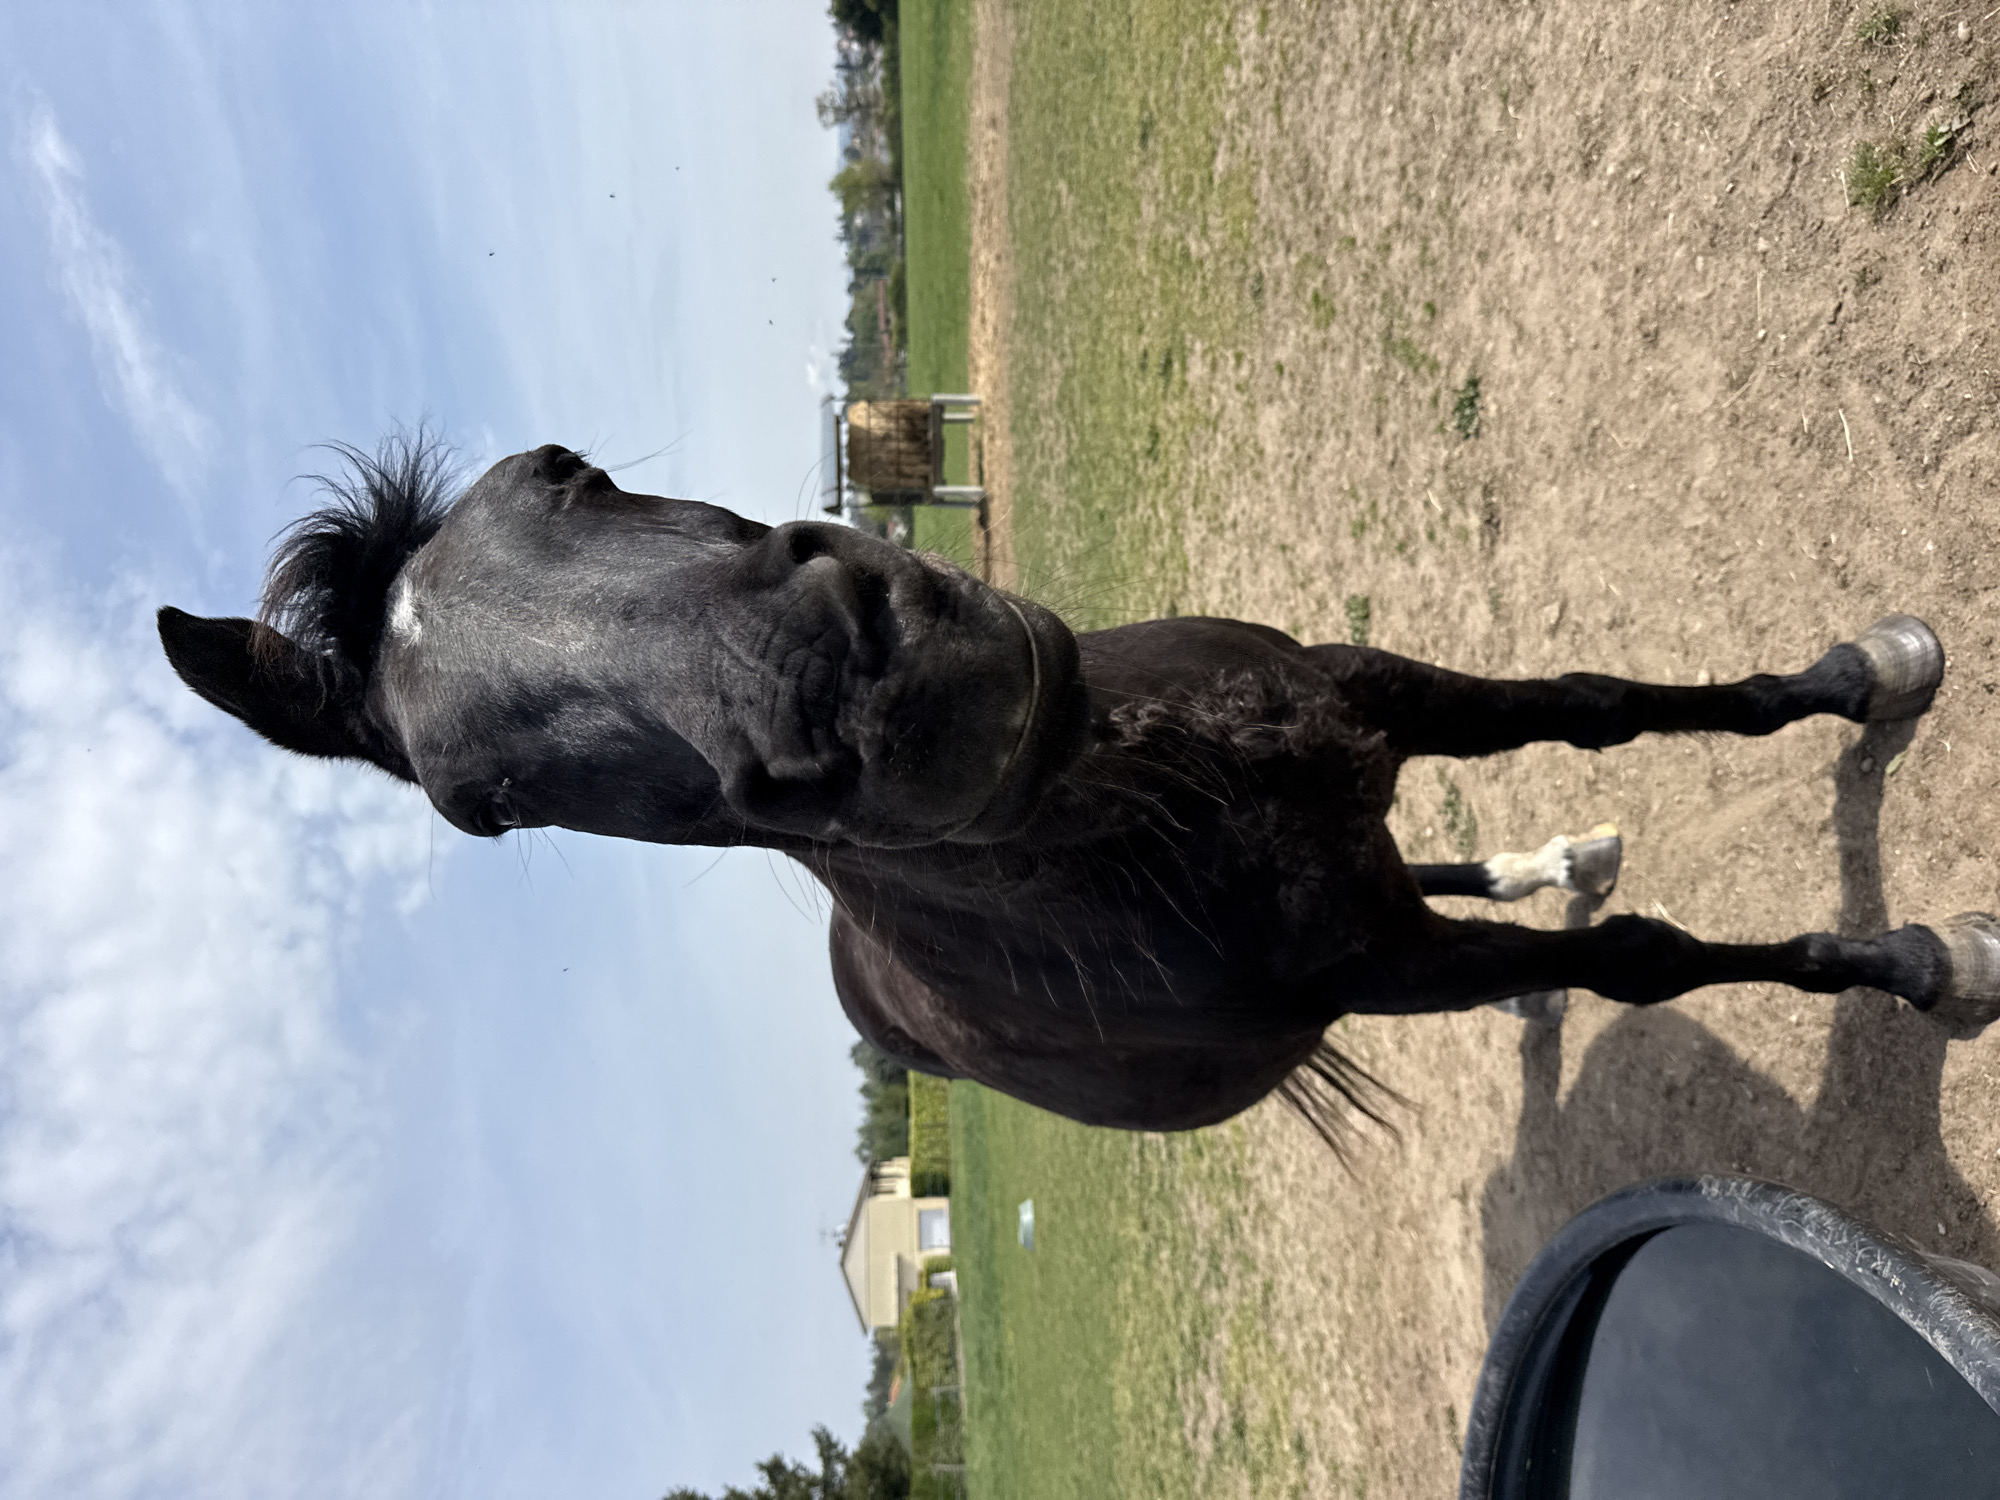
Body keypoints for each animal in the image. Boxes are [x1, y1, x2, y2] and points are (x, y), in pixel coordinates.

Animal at [157, 436, 2000, 1147]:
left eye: (565, 472)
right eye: (481, 810)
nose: (875, 673)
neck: (1151, 804)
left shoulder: (1375, 704)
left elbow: (1607, 706)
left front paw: (1871, 676)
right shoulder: (1380, 965)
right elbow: (1655, 963)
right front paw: (1926, 964)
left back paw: (1563, 854)